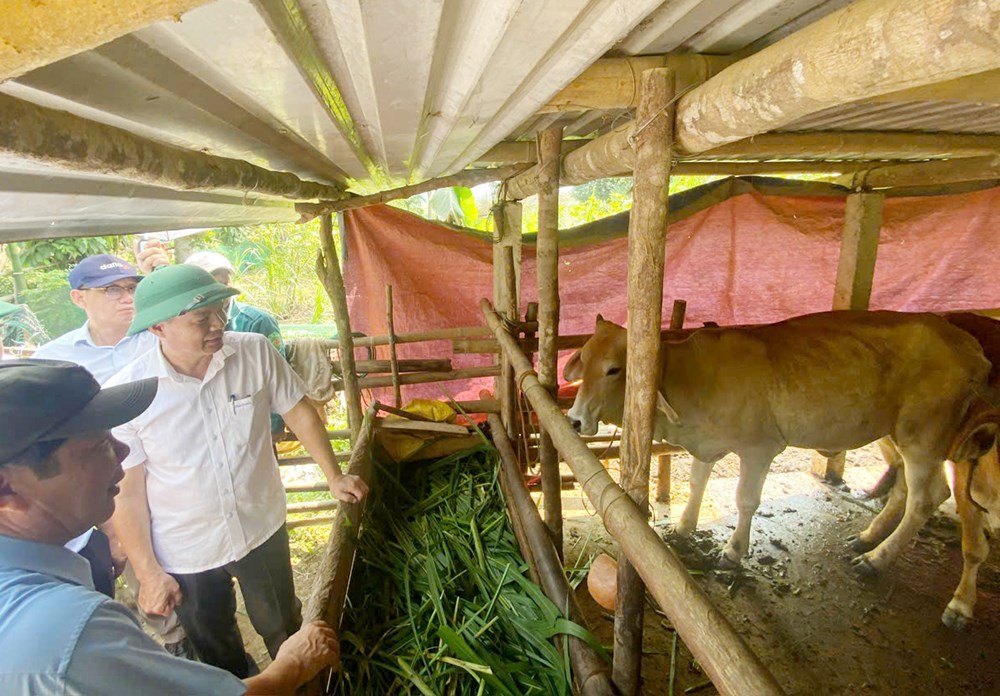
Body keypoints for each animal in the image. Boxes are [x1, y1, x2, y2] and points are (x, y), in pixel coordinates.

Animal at [568, 312, 988, 572]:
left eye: (614, 369)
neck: (692, 373)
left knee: (927, 497)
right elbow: (698, 483)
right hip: (899, 434)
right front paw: (683, 528)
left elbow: (745, 500)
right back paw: (866, 538)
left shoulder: (759, 450)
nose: (574, 419)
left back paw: (875, 560)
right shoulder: (707, 444)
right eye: (583, 359)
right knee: (904, 486)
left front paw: (733, 552)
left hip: (923, 438)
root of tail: (970, 347)